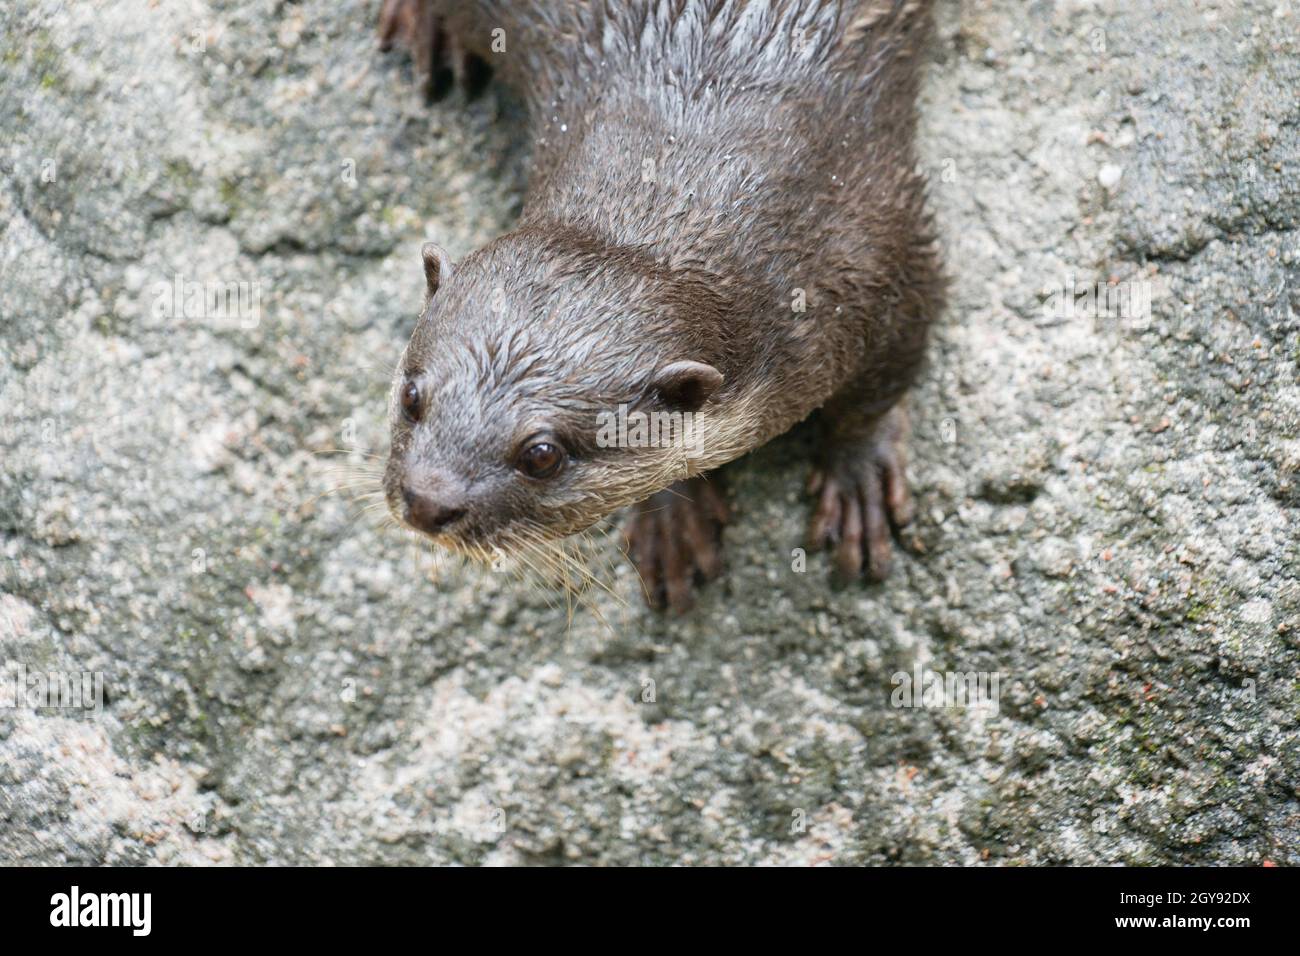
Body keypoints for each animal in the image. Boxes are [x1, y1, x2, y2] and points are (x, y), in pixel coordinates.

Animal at [379, 1, 946, 613]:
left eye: (542, 455)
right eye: (411, 398)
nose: (428, 501)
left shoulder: (886, 244)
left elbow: (882, 384)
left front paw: (858, 473)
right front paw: (673, 520)